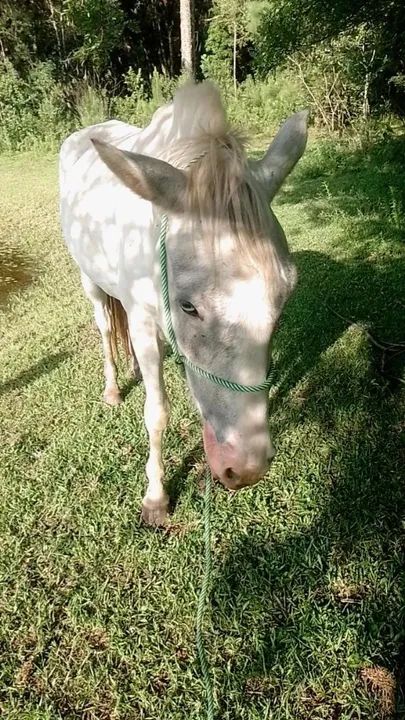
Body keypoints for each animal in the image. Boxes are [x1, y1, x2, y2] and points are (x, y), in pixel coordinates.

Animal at [59, 81, 308, 526]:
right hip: (89, 279)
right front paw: (155, 497)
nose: (244, 470)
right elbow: (156, 414)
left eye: (283, 300)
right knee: (105, 327)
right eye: (188, 306)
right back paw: (113, 389)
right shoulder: (143, 325)